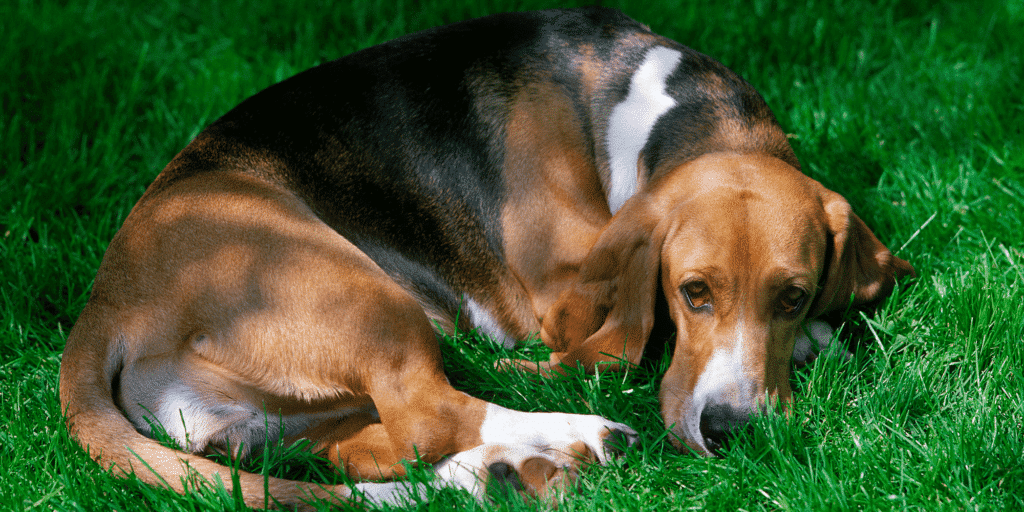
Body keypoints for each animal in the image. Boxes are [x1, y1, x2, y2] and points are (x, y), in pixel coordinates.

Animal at [59, 6, 917, 509]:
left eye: (793, 295)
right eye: (692, 292)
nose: (732, 429)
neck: (649, 108)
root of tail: (108, 299)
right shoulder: (563, 297)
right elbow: (616, 345)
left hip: (276, 415)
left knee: (366, 449)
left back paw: (502, 473)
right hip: (357, 293)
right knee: (430, 413)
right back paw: (571, 437)